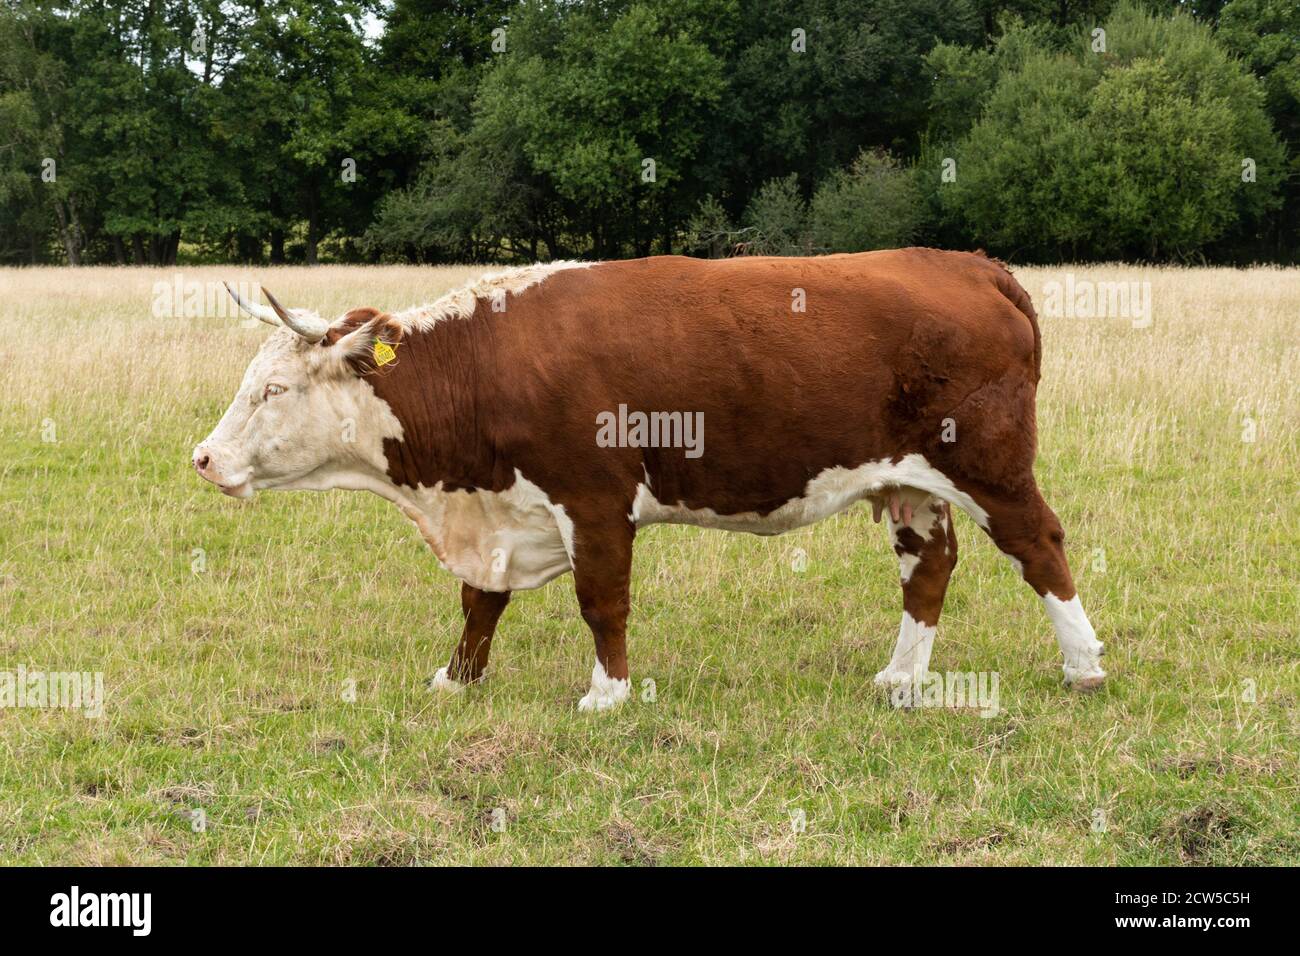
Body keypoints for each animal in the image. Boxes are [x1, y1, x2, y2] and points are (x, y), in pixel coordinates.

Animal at [195, 248, 1107, 712]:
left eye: (275, 390)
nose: (204, 458)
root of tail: (967, 262)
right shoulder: (500, 514)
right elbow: (480, 601)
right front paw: (457, 678)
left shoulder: (593, 501)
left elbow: (602, 601)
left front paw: (609, 695)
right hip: (909, 481)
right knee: (930, 565)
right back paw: (902, 677)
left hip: (989, 464)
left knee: (1040, 546)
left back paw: (1083, 666)